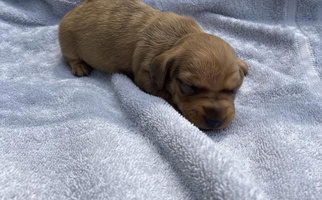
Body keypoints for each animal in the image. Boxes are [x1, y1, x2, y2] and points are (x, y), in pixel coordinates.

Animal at [58, 0, 249, 130]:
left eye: (233, 89)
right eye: (188, 86)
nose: (215, 122)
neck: (177, 39)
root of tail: (76, 8)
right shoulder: (145, 75)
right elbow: (165, 93)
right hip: (68, 43)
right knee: (70, 57)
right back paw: (79, 67)